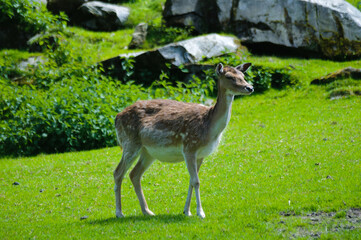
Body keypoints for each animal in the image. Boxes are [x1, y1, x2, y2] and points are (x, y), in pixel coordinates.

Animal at [113, 61, 253, 218]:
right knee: (118, 172)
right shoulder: (189, 147)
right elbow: (196, 181)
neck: (209, 128)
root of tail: (116, 118)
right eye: (229, 77)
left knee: (134, 174)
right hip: (130, 142)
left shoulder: (201, 154)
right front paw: (200, 213)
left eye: (243, 75)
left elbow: (192, 181)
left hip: (148, 152)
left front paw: (187, 211)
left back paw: (147, 211)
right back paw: (119, 213)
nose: (250, 87)